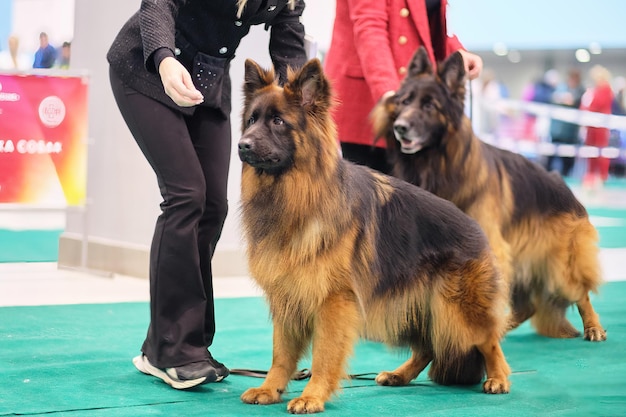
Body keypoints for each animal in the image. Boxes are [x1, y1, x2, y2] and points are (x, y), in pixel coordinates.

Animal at [236, 58, 510, 412]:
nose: (242, 145)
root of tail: (476, 228)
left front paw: (312, 395)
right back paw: (399, 375)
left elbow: (324, 354)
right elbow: (281, 354)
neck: (299, 192)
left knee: (489, 339)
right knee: (428, 346)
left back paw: (499, 378)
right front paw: (270, 388)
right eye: (252, 120)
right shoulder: (288, 296)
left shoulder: (333, 301)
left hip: (456, 310)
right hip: (417, 308)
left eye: (279, 121)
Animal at [370, 47, 604, 342]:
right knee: (527, 306)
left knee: (581, 291)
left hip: (560, 264)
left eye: (429, 106)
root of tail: (563, 185)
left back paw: (593, 327)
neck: (439, 165)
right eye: (404, 101)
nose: (400, 127)